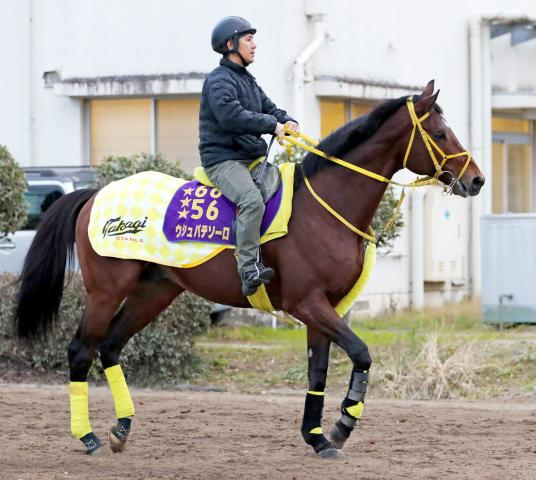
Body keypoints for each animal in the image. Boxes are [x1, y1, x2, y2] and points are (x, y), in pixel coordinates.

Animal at [15, 80, 486, 460]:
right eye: (440, 133)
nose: (477, 179)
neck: (324, 208)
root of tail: (95, 193)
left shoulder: (324, 309)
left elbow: (318, 371)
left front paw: (317, 437)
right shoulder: (307, 303)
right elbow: (361, 353)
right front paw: (342, 425)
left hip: (154, 292)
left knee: (111, 346)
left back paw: (121, 428)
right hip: (106, 290)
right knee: (81, 350)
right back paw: (89, 437)